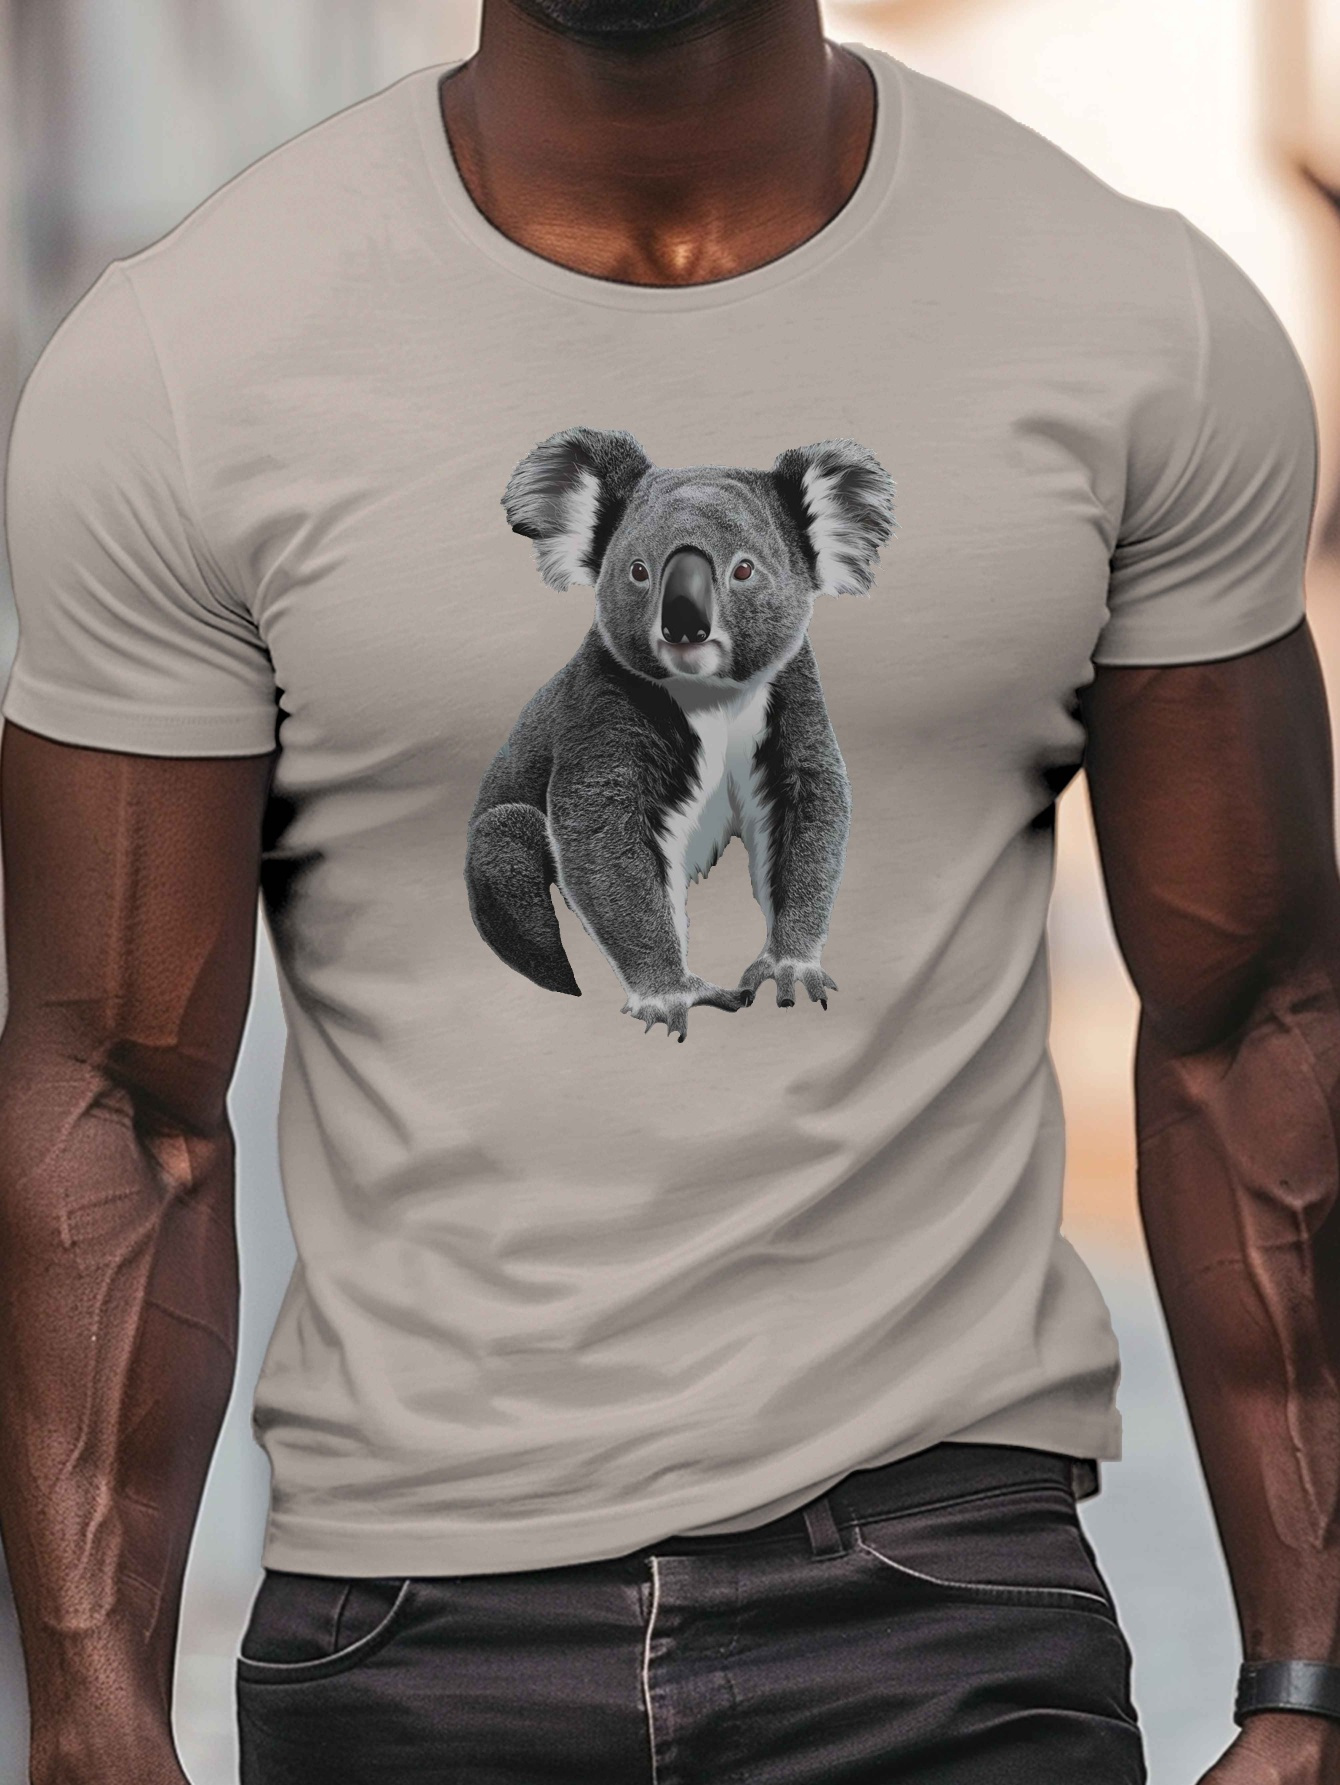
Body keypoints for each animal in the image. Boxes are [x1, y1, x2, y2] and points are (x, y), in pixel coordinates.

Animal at [464, 426, 895, 1040]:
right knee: (507, 845)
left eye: (744, 569)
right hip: (500, 844)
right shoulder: (603, 712)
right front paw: (670, 993)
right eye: (639, 570)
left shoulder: (791, 695)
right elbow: (604, 841)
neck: (710, 697)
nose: (685, 623)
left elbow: (808, 814)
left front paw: (790, 966)